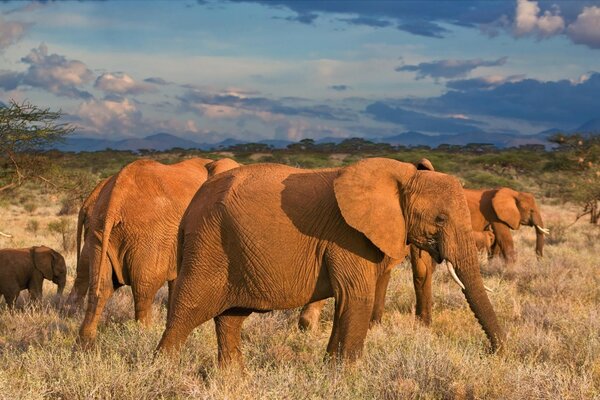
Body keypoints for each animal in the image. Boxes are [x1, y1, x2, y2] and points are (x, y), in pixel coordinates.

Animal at [77, 156, 239, 344]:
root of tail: (115, 199)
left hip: (99, 232)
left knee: (101, 285)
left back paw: (85, 343)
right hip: (149, 237)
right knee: (144, 289)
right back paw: (143, 337)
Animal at [157, 157, 504, 366]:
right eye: (440, 219)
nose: (494, 353)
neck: (401, 175)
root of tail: (190, 209)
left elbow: (347, 301)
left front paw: (330, 368)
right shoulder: (347, 235)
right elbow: (356, 296)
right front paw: (347, 376)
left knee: (230, 320)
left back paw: (233, 380)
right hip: (208, 245)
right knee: (187, 313)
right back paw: (164, 373)